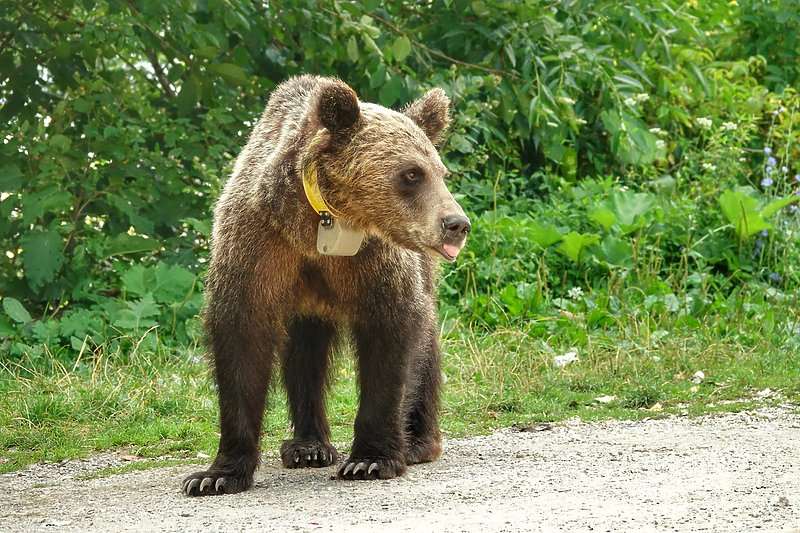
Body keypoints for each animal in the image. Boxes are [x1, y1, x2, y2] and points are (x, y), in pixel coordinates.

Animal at [183, 74, 468, 494]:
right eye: (412, 174)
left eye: (440, 172)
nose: (456, 224)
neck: (318, 225)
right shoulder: (260, 245)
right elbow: (242, 341)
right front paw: (216, 475)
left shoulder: (374, 263)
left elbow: (393, 338)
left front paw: (370, 459)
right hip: (306, 303)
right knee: (305, 354)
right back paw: (308, 446)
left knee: (426, 342)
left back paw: (418, 441)